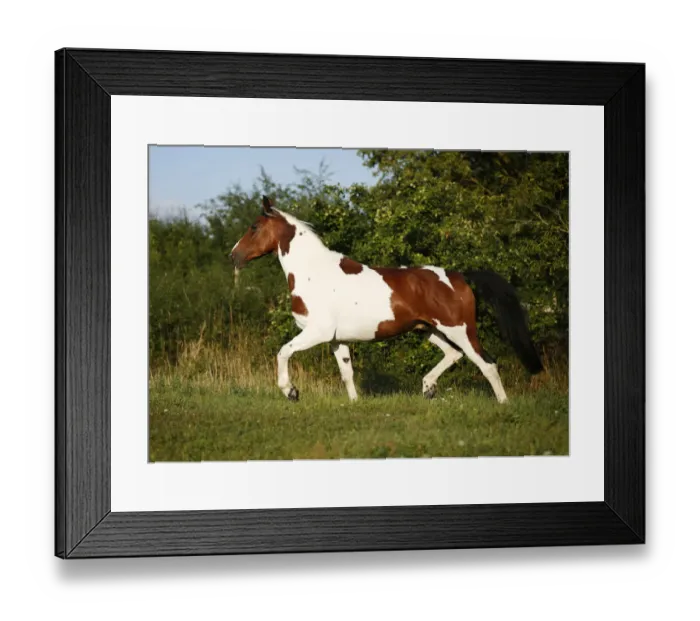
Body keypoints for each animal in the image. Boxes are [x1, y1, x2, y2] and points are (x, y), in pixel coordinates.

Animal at [230, 196, 543, 403]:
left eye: (254, 227)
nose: (233, 255)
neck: (314, 273)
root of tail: (459, 276)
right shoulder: (336, 339)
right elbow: (346, 373)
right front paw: (354, 404)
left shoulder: (316, 332)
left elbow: (283, 351)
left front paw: (291, 391)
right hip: (430, 330)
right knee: (453, 355)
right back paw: (428, 388)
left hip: (460, 330)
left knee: (486, 363)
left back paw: (503, 404)